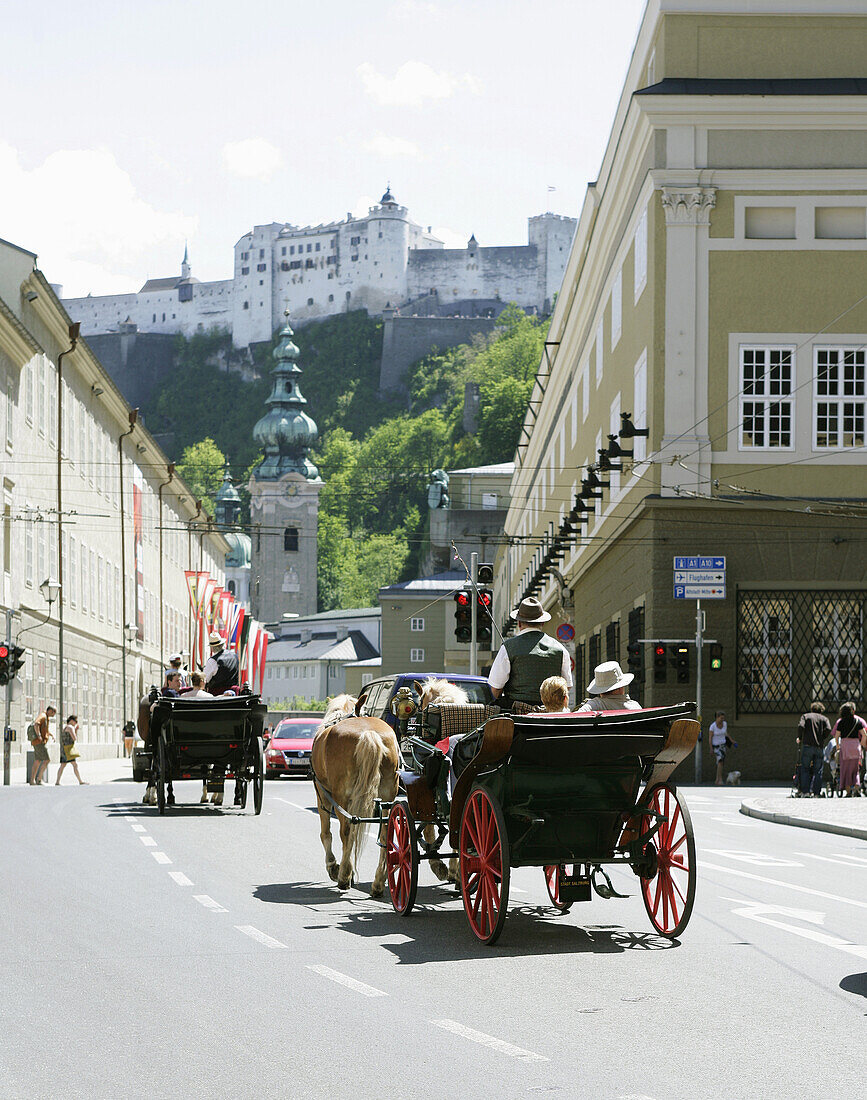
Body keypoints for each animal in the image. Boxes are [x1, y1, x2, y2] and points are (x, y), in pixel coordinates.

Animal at [312, 695, 400, 893]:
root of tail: (369, 733)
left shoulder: (322, 793)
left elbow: (326, 832)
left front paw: (333, 866)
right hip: (388, 799)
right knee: (385, 834)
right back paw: (378, 882)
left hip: (340, 798)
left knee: (346, 831)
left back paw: (344, 875)